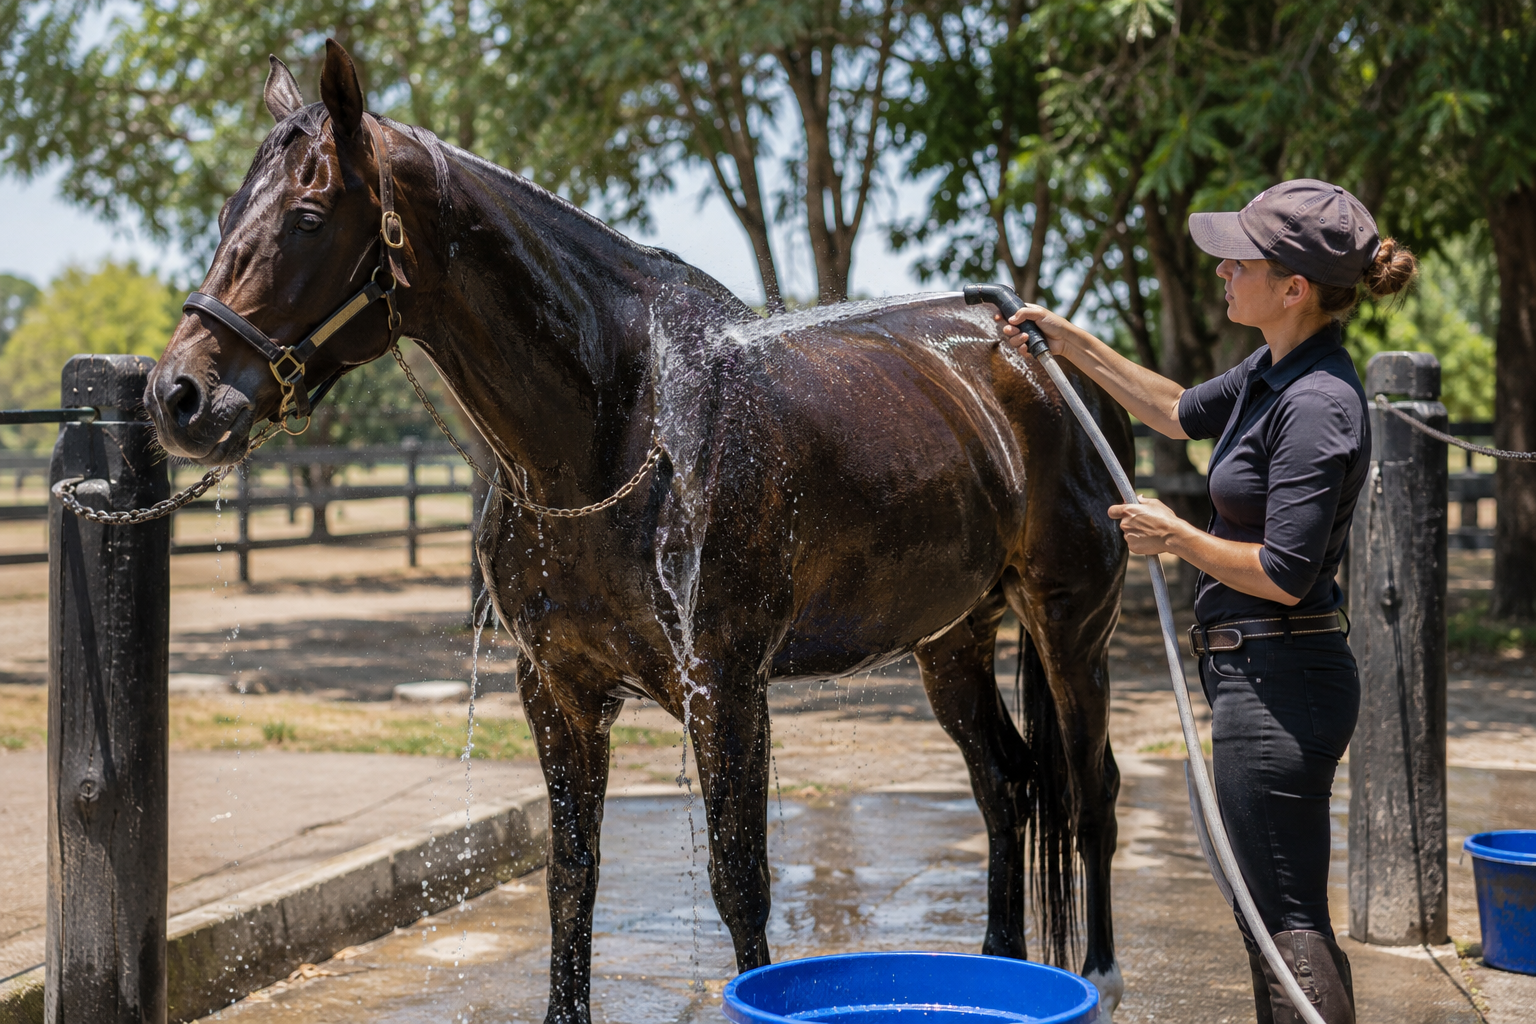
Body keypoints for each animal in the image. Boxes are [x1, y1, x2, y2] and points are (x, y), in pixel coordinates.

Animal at [145, 40, 1133, 1023]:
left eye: (309, 217)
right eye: (229, 213)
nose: (178, 396)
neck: (618, 429)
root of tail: (1038, 350)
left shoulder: (724, 686)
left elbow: (741, 882)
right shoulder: (559, 689)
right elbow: (570, 877)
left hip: (1070, 627)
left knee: (1091, 792)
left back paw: (1105, 973)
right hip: (951, 639)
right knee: (1006, 786)